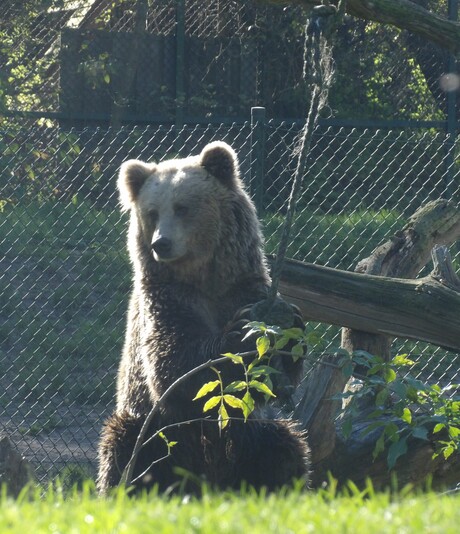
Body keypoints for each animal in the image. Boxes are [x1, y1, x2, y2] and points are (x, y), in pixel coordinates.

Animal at [98, 141, 310, 494]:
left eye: (182, 207)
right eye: (152, 212)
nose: (161, 243)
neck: (205, 279)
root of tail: (205, 484)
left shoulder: (243, 286)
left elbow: (280, 376)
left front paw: (285, 320)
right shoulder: (167, 299)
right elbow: (175, 365)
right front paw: (239, 333)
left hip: (247, 435)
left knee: (285, 446)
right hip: (155, 431)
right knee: (125, 451)